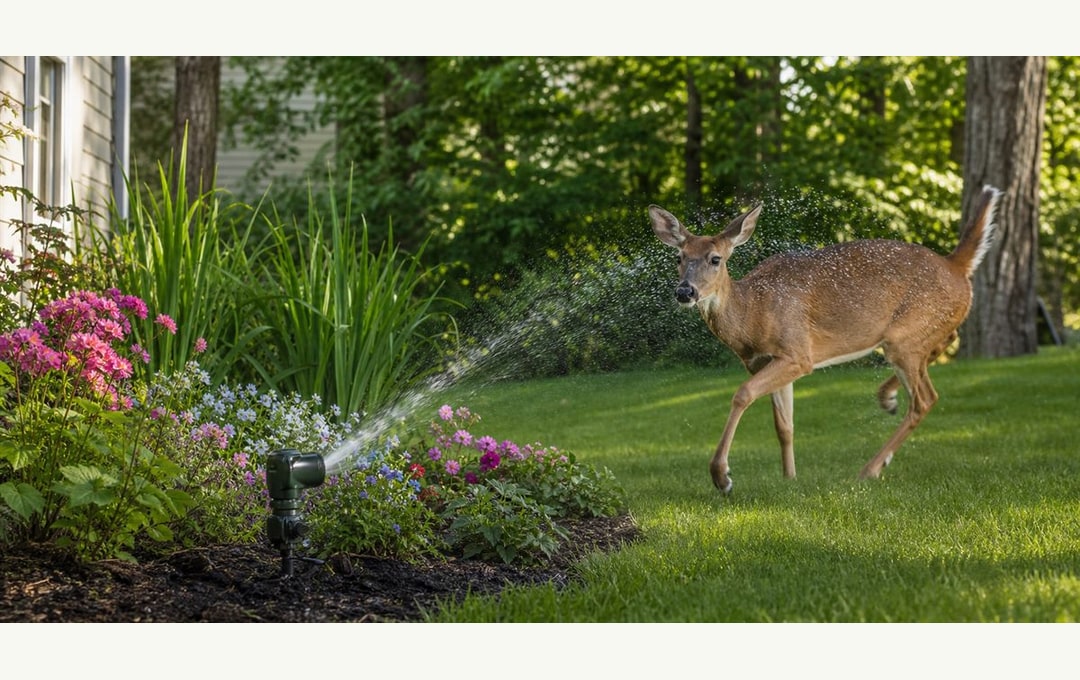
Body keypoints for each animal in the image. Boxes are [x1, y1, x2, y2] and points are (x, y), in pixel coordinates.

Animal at [649, 186, 1001, 493]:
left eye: (715, 259)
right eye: (679, 257)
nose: (685, 291)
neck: (754, 312)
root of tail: (955, 265)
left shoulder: (797, 353)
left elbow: (742, 394)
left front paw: (722, 477)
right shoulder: (766, 361)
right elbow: (784, 425)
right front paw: (789, 478)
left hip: (905, 338)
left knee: (926, 398)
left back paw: (870, 468)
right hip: (909, 336)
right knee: (945, 344)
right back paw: (886, 399)